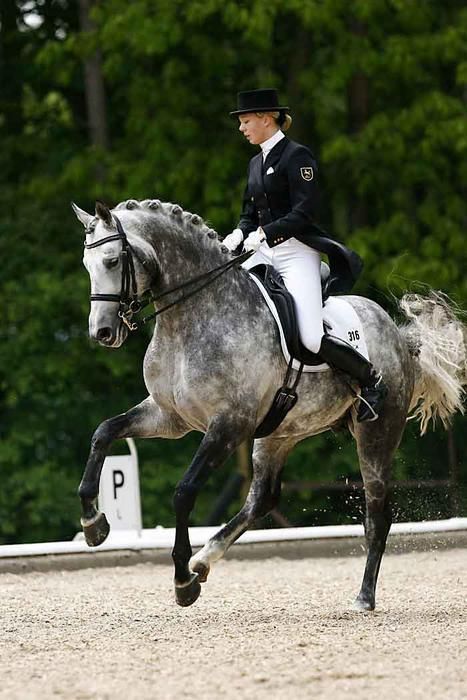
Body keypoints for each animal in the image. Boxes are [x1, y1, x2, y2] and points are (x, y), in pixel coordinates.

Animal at [71, 197, 466, 608]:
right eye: (87, 264)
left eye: (112, 261)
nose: (102, 333)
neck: (191, 318)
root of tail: (399, 336)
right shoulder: (169, 416)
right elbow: (104, 432)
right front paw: (94, 524)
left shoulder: (229, 425)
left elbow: (184, 492)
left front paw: (182, 582)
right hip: (279, 434)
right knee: (262, 497)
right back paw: (204, 559)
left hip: (376, 435)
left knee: (377, 513)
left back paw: (363, 597)